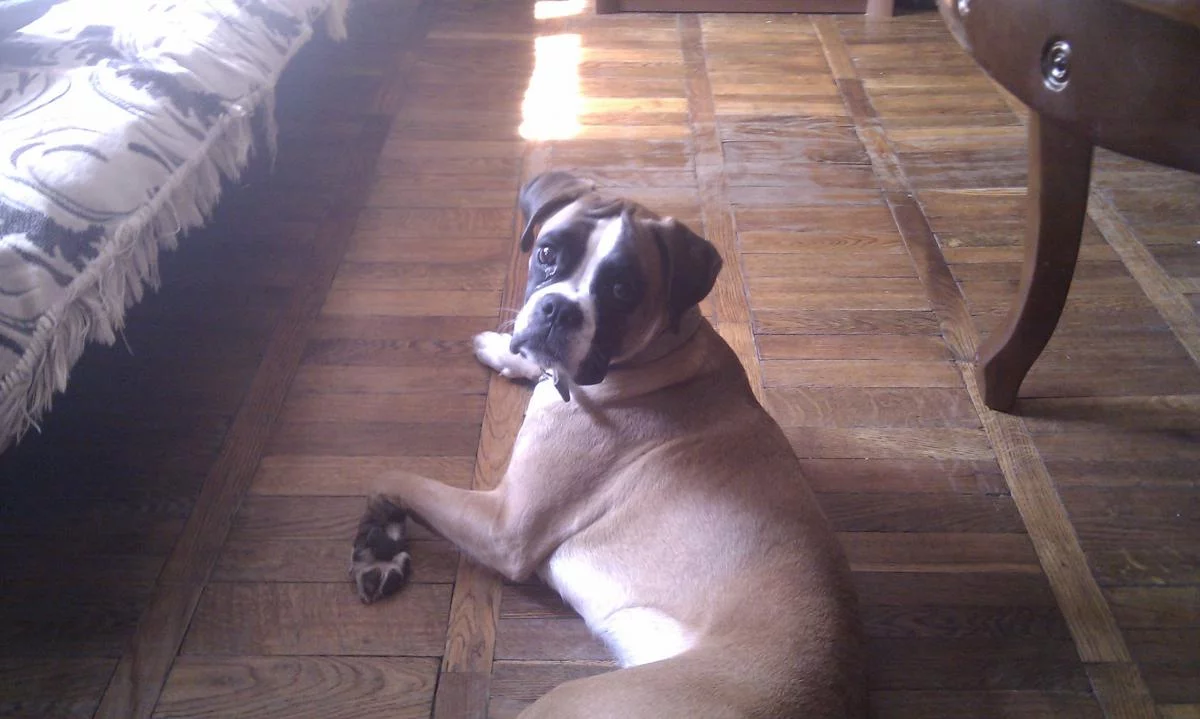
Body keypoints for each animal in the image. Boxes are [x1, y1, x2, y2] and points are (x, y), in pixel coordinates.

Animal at [350, 171, 865, 718]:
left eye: (621, 289)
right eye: (547, 253)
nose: (558, 309)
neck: (656, 354)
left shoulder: (504, 526)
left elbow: (390, 477)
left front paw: (378, 547)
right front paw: (504, 348)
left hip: (567, 700)